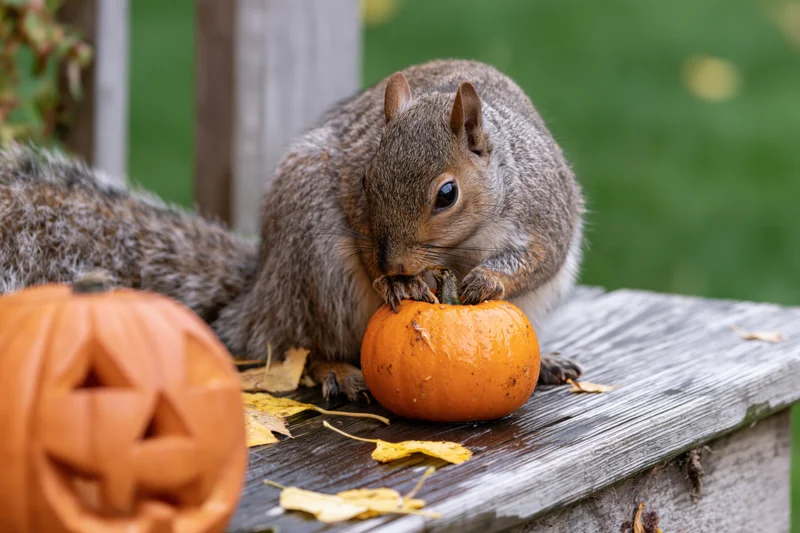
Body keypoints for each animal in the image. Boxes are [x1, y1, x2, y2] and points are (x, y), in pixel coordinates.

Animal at [0, 59, 584, 401]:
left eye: (447, 195)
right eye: (365, 178)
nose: (395, 263)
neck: (459, 248)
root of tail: (263, 287)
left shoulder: (546, 210)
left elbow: (540, 258)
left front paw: (484, 281)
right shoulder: (351, 208)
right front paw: (397, 284)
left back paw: (546, 363)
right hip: (316, 263)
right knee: (301, 343)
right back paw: (335, 371)